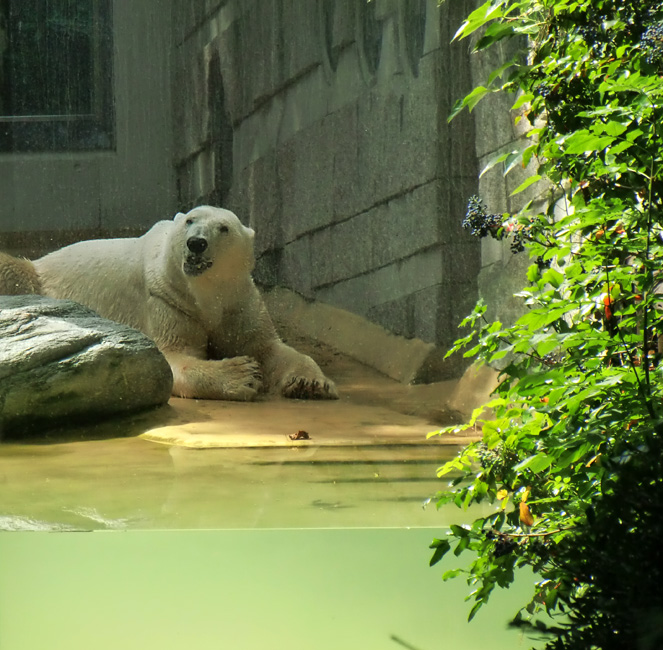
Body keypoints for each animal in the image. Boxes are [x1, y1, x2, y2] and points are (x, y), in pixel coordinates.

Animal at [2, 208, 338, 400]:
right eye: (190, 220)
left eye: (224, 228)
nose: (196, 243)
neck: (205, 294)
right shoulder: (168, 300)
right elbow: (174, 356)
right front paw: (242, 374)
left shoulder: (238, 303)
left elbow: (268, 347)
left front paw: (311, 383)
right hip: (35, 279)